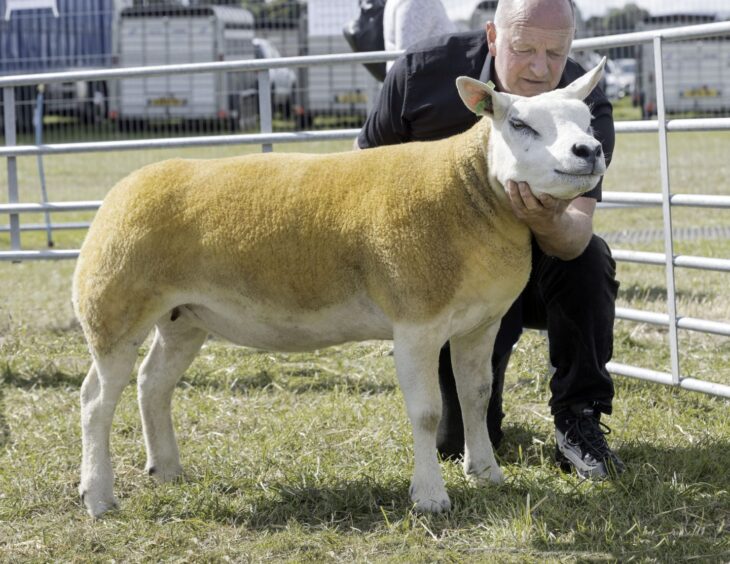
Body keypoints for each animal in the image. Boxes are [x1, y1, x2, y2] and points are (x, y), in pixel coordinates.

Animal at [74, 59, 604, 516]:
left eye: (588, 120)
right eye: (519, 124)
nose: (590, 151)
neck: (470, 187)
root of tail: (121, 192)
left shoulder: (480, 323)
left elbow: (476, 394)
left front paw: (486, 472)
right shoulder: (416, 324)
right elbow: (428, 413)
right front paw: (430, 497)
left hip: (182, 317)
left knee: (152, 383)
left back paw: (165, 469)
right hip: (113, 309)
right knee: (95, 401)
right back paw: (98, 495)